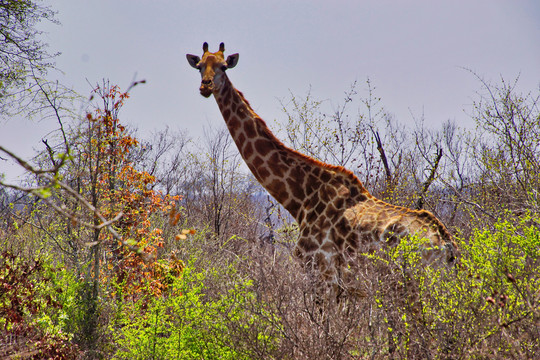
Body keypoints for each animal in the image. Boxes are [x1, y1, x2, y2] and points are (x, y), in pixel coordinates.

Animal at [188, 42, 458, 296]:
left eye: (223, 66)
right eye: (200, 65)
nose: (205, 86)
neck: (301, 196)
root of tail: (447, 247)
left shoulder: (321, 271)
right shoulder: (345, 287)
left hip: (414, 285)